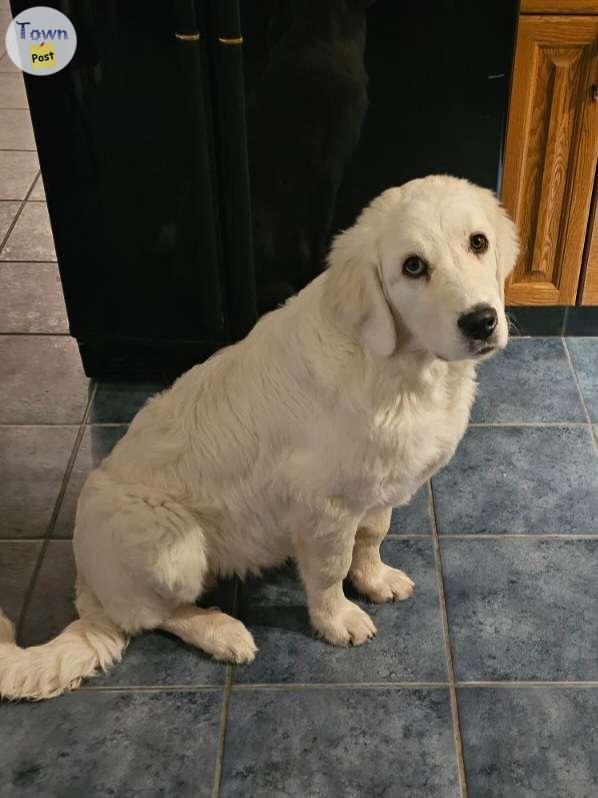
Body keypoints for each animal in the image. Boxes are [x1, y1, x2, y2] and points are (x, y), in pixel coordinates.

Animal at [0, 175, 516, 700]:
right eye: (413, 266)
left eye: (478, 242)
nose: (481, 321)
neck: (400, 367)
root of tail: (88, 583)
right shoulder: (323, 504)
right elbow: (330, 569)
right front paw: (338, 620)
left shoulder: (379, 482)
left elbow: (372, 536)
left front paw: (375, 580)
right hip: (170, 542)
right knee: (150, 616)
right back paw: (222, 631)